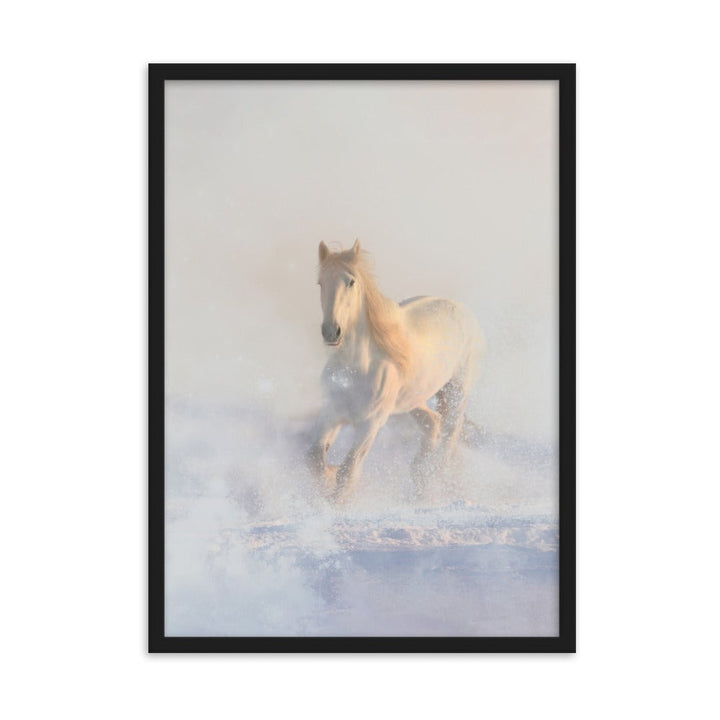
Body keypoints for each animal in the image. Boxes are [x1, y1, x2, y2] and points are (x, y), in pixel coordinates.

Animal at [306, 239, 485, 503]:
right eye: (320, 282)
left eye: (351, 281)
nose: (331, 332)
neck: (356, 369)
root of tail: (463, 311)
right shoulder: (331, 413)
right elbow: (315, 460)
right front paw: (327, 480)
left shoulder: (371, 424)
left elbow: (348, 472)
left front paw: (335, 502)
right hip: (413, 400)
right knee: (434, 423)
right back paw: (419, 481)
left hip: (457, 391)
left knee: (449, 436)